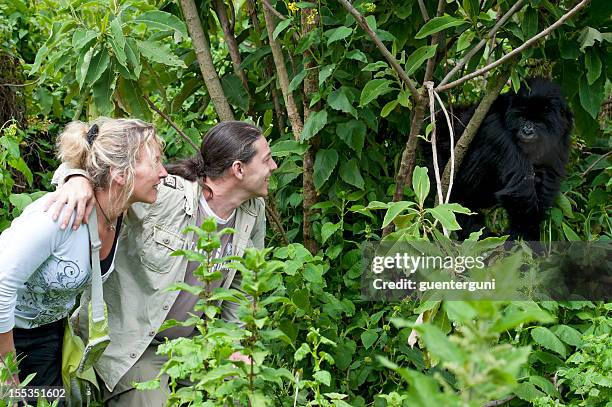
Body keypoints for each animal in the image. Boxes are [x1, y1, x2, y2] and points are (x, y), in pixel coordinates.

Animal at [432, 78, 572, 241]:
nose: (527, 130)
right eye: (522, 117)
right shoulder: (496, 128)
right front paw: (521, 233)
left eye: (537, 120)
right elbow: (520, 190)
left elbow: (546, 182)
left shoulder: (562, 133)